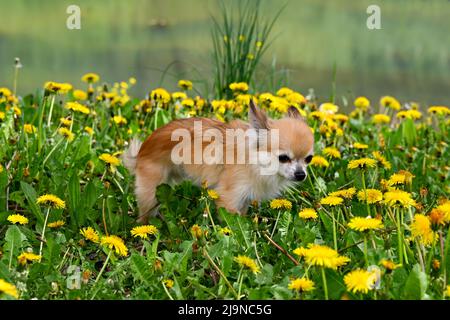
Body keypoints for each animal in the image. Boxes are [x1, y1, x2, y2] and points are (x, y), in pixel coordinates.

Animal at [121, 101, 314, 224]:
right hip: (150, 192)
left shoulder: (244, 199)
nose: (301, 174)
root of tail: (142, 150)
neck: (254, 160)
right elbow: (232, 222)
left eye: (308, 159)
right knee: (143, 215)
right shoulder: (228, 198)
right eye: (283, 158)